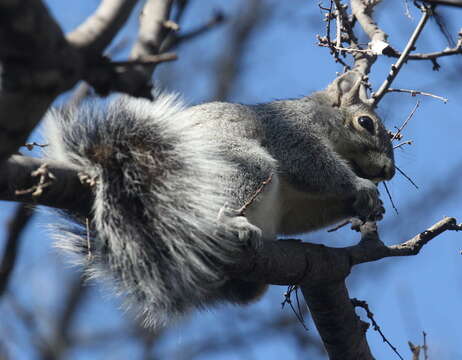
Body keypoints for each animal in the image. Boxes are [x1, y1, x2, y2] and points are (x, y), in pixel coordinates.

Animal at [45, 69, 396, 326]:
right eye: (366, 123)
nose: (389, 172)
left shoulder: (293, 205)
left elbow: (302, 215)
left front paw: (369, 206)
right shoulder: (292, 134)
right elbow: (313, 166)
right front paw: (361, 188)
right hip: (242, 166)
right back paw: (231, 225)